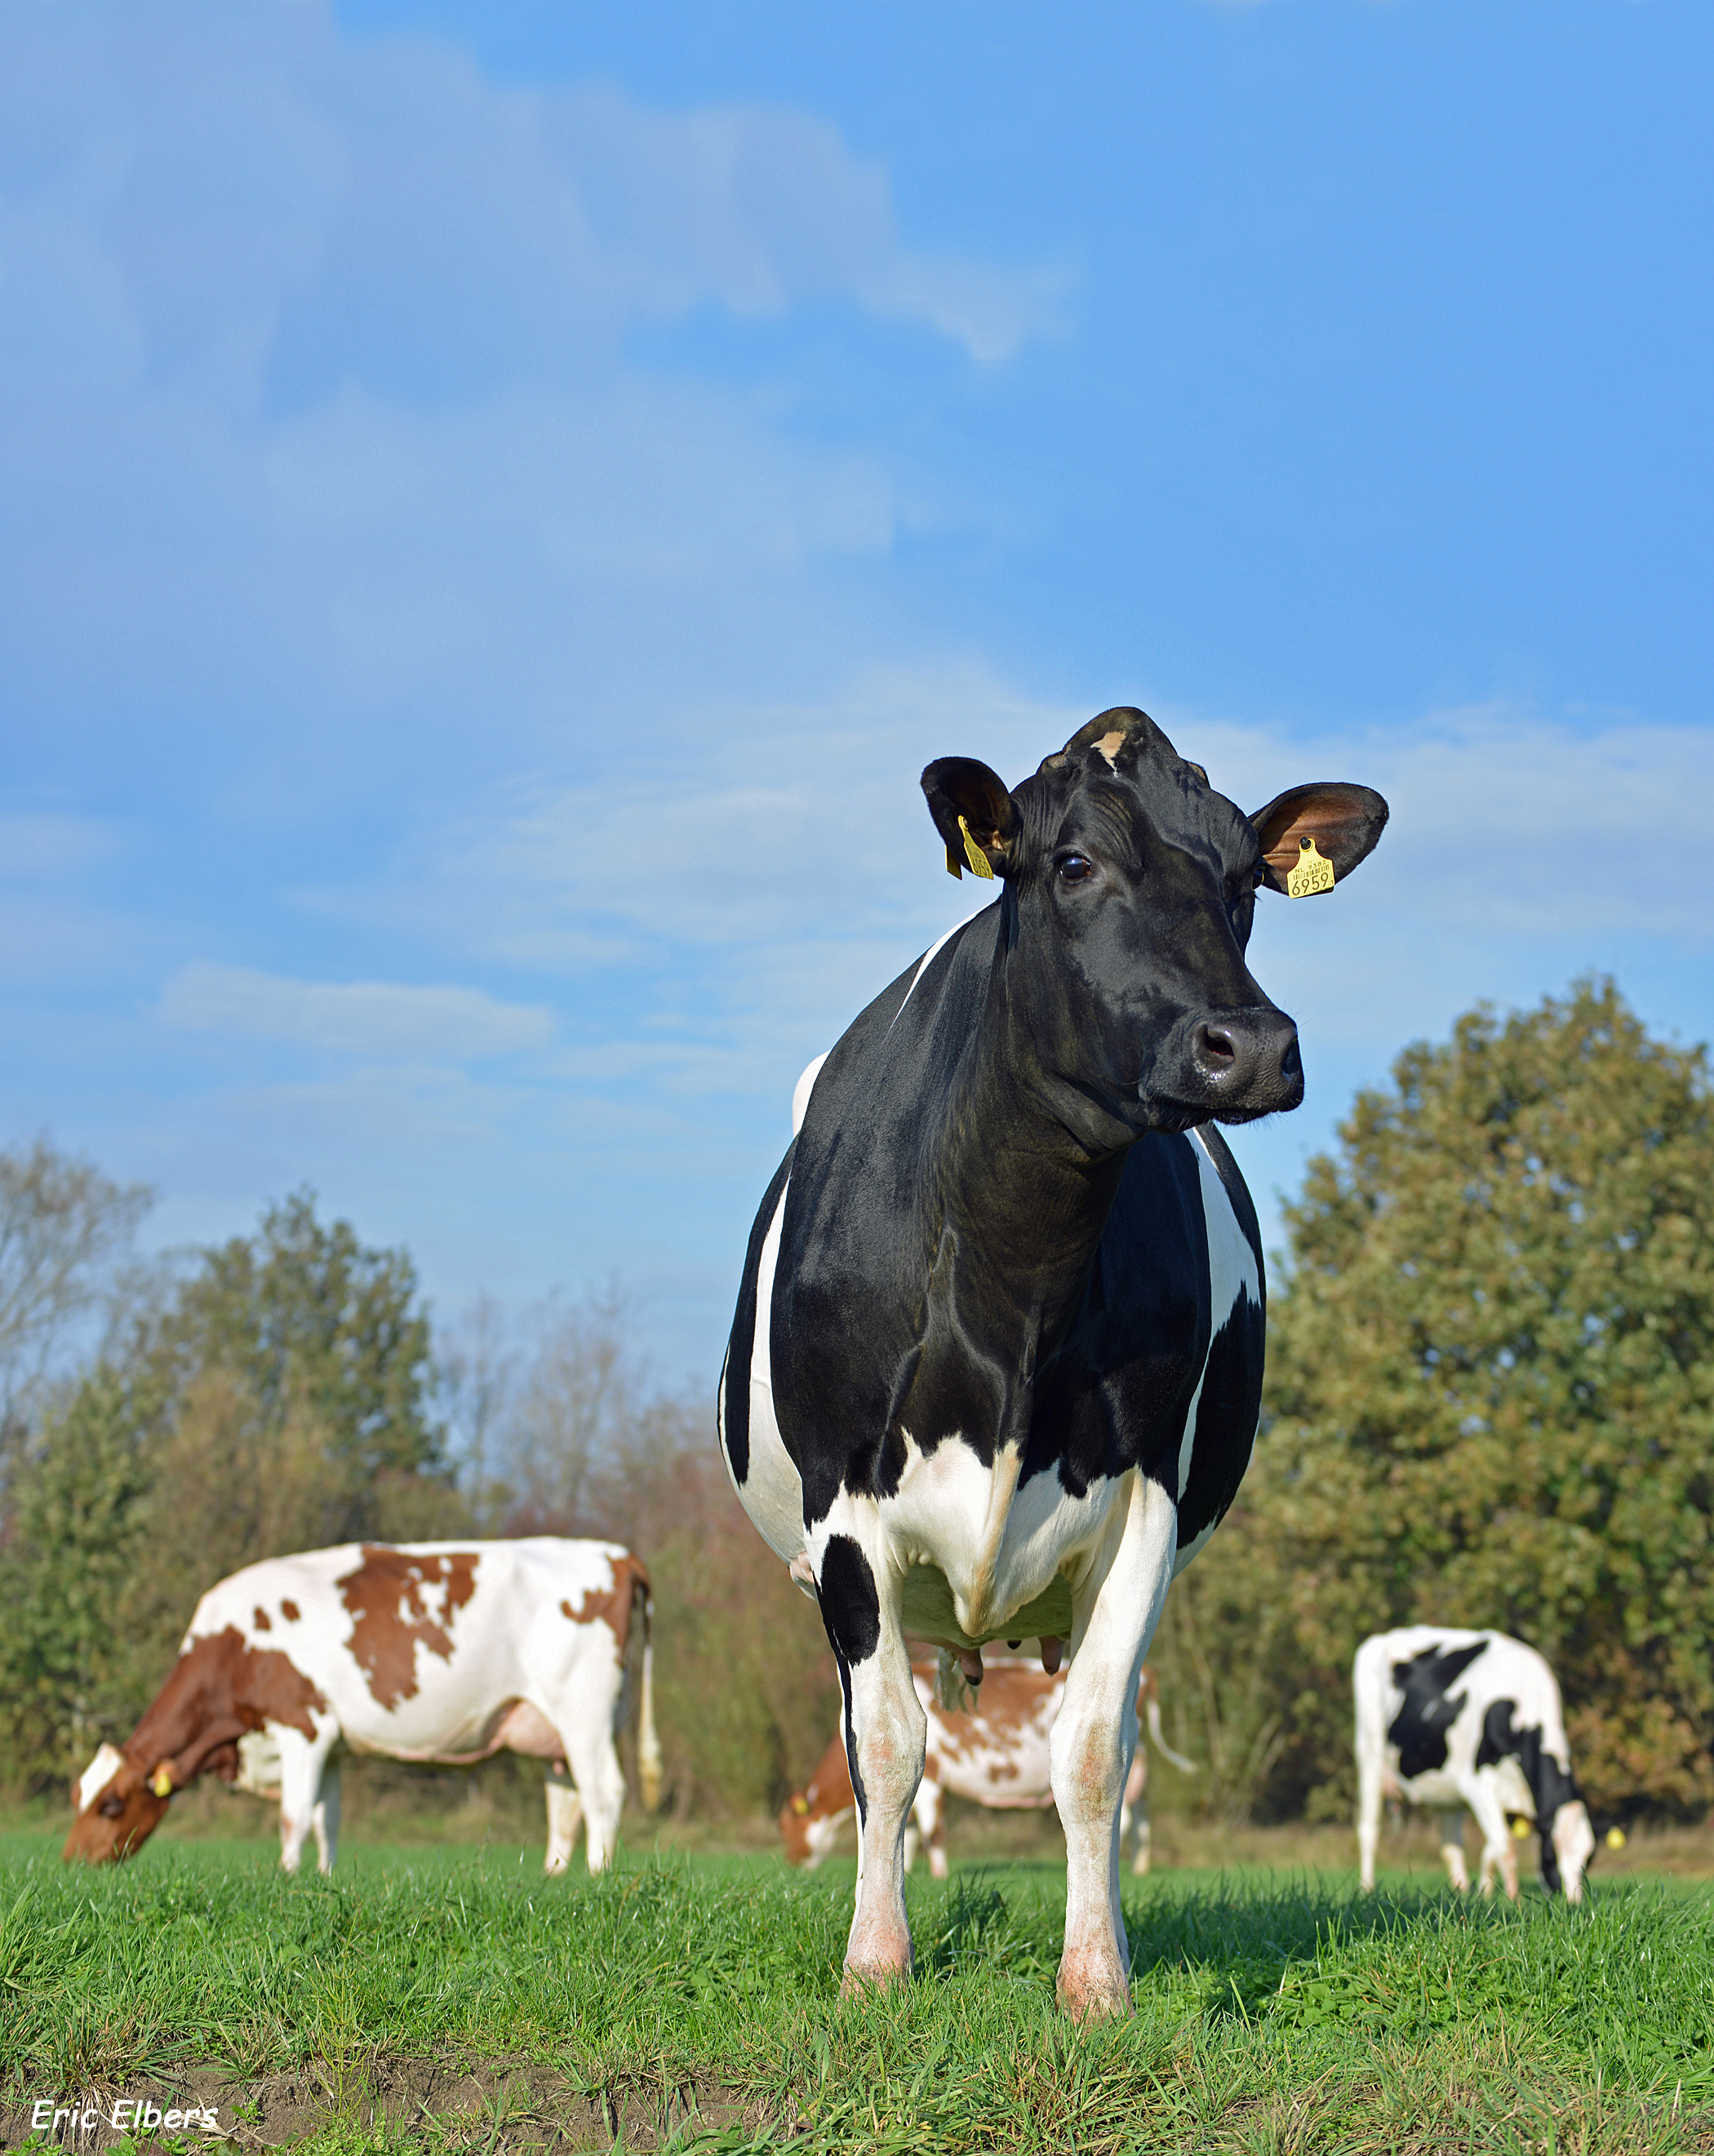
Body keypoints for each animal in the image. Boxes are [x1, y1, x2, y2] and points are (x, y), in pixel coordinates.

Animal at [67, 1535, 659, 1871]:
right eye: (78, 1794)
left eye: (111, 1804)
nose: (72, 1862)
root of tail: (615, 1554)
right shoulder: (331, 1744)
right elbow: (326, 1821)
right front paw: (323, 1881)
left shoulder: (303, 1727)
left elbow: (293, 1817)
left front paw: (286, 1879)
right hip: (551, 1729)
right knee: (566, 1804)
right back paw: (555, 1882)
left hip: (584, 1714)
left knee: (604, 1793)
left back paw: (599, 1880)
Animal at [780, 1664, 1190, 1871]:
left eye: (790, 1826)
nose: (790, 1863)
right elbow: (906, 1833)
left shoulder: (932, 1780)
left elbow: (933, 1835)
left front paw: (939, 1879)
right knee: (1142, 1816)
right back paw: (1139, 1869)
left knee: (1124, 1817)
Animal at [1362, 1621, 1604, 1914]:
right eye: (1550, 1855)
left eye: (1588, 1858)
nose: (1573, 1903)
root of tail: (1386, 1636)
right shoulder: (1476, 1785)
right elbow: (1505, 1847)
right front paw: (1514, 1903)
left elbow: (1491, 1849)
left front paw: (1484, 1897)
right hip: (1369, 1755)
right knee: (1368, 1831)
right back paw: (1366, 1890)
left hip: (1446, 1790)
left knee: (1450, 1844)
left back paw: (1460, 1894)